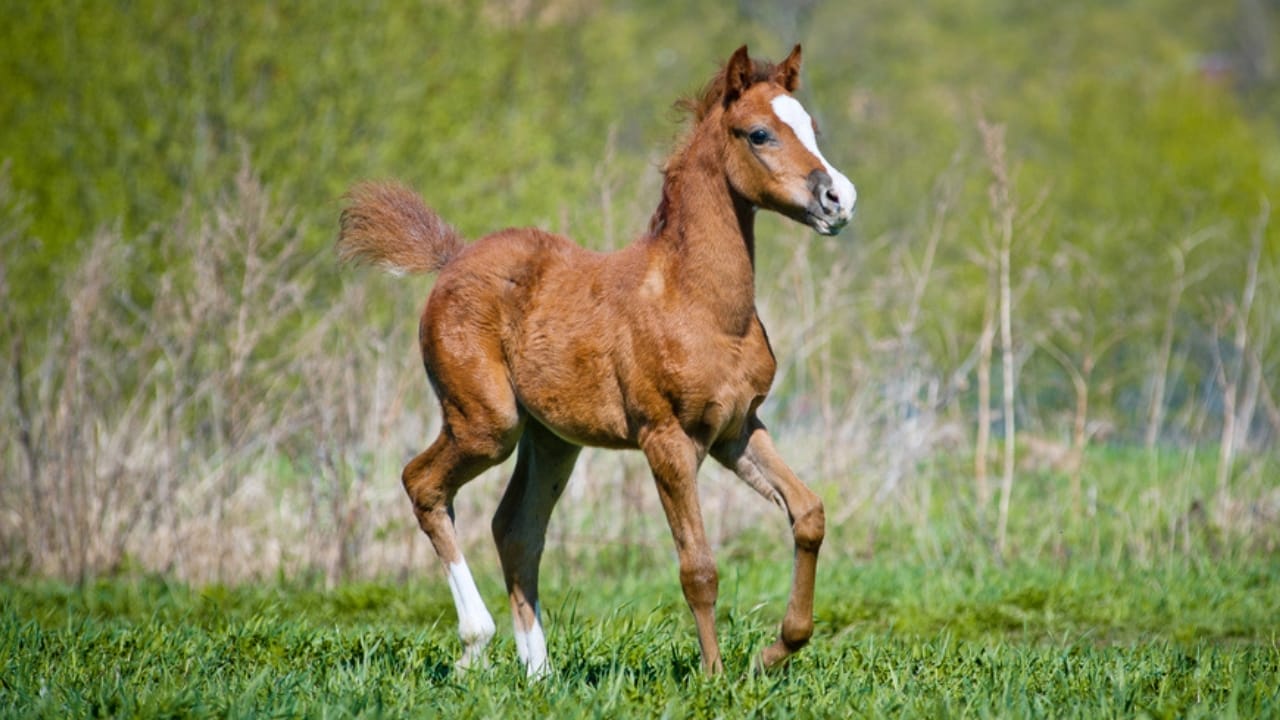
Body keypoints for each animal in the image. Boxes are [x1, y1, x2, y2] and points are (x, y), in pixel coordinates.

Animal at [337, 44, 856, 677]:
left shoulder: (736, 429)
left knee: (516, 529)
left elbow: (808, 513)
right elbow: (698, 568)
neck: (699, 303)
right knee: (424, 484)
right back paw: (477, 643)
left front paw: (773, 651)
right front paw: (715, 677)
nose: (839, 199)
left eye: (812, 127)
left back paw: (539, 673)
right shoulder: (666, 439)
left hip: (553, 440)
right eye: (759, 133)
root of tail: (452, 259)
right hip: (488, 425)